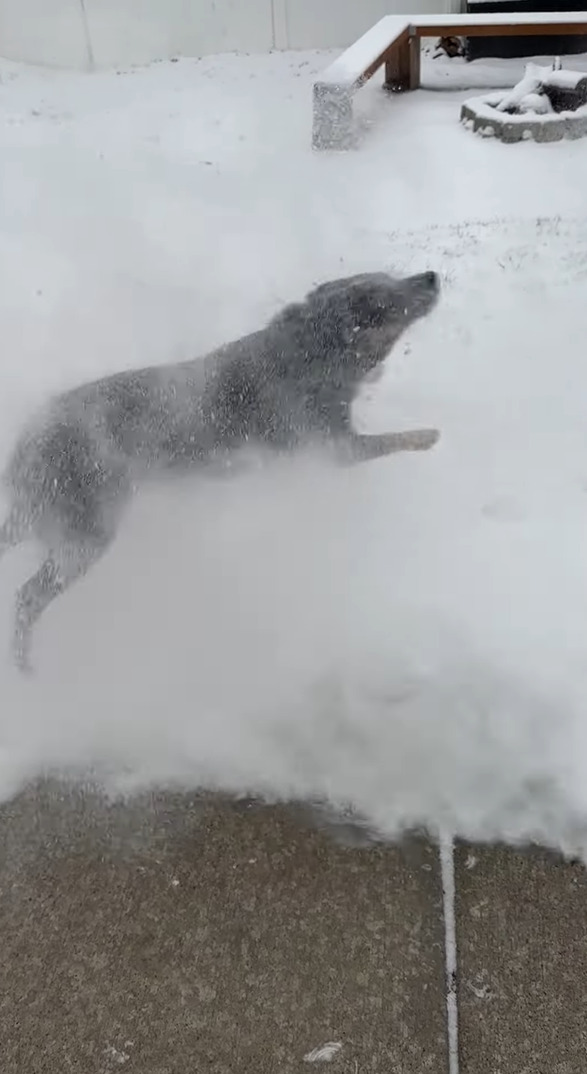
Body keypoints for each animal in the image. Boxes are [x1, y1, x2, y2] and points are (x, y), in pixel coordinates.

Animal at [0, 270, 442, 670]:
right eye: (379, 302)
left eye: (387, 274)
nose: (430, 275)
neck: (306, 355)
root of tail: (25, 446)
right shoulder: (332, 445)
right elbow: (390, 440)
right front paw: (427, 435)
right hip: (85, 535)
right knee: (27, 597)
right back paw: (24, 665)